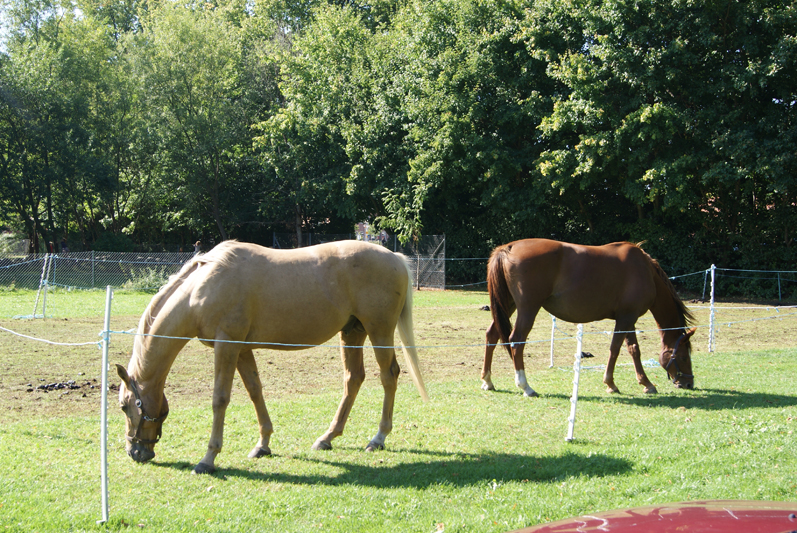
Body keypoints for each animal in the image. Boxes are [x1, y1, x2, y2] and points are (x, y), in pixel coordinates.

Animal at [115, 240, 428, 474]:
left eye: (123, 406)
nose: (135, 452)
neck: (202, 288)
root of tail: (395, 257)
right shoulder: (241, 349)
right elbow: (255, 391)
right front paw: (263, 444)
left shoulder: (226, 346)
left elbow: (220, 399)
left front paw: (208, 458)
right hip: (353, 332)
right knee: (354, 379)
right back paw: (327, 438)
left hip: (379, 331)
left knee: (388, 376)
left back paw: (378, 438)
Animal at [481, 239, 696, 397]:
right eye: (683, 356)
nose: (688, 383)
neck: (645, 271)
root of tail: (509, 248)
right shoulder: (626, 318)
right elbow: (617, 349)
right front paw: (611, 383)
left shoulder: (628, 319)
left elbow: (633, 349)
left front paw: (645, 383)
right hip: (527, 309)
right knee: (516, 341)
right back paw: (525, 386)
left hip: (508, 305)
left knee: (492, 335)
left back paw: (488, 381)